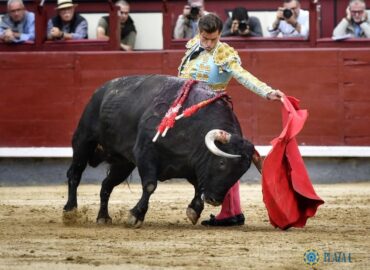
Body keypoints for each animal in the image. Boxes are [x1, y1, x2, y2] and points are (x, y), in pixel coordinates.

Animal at [63, 73, 256, 226]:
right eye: (222, 162)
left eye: (241, 172)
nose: (215, 200)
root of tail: (102, 90)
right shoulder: (145, 154)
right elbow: (150, 185)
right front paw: (135, 216)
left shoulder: (193, 164)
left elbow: (198, 186)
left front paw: (194, 211)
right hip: (83, 140)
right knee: (75, 173)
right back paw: (70, 211)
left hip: (123, 163)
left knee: (106, 185)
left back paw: (103, 217)